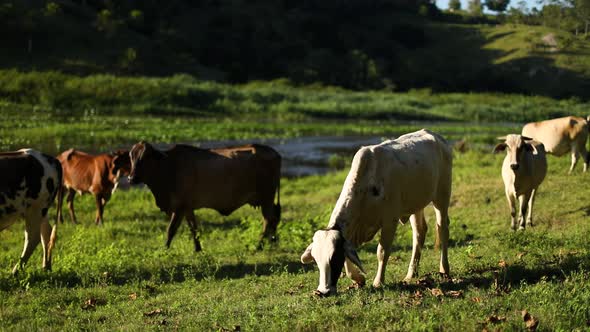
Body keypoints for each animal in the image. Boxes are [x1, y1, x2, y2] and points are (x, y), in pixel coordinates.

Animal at [126, 141, 282, 252]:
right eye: (131, 157)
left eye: (145, 157)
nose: (131, 178)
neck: (168, 167)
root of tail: (275, 153)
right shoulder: (187, 208)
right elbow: (193, 228)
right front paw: (198, 248)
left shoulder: (179, 207)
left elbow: (171, 230)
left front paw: (165, 249)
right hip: (266, 200)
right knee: (274, 218)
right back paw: (272, 241)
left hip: (267, 197)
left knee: (268, 220)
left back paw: (259, 245)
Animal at [300, 130, 454, 296]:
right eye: (316, 261)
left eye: (334, 259)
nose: (323, 291)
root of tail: (436, 137)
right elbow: (350, 258)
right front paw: (359, 279)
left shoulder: (390, 221)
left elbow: (382, 251)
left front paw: (378, 282)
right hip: (416, 204)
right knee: (419, 232)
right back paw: (411, 274)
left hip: (442, 196)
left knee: (442, 228)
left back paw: (444, 269)